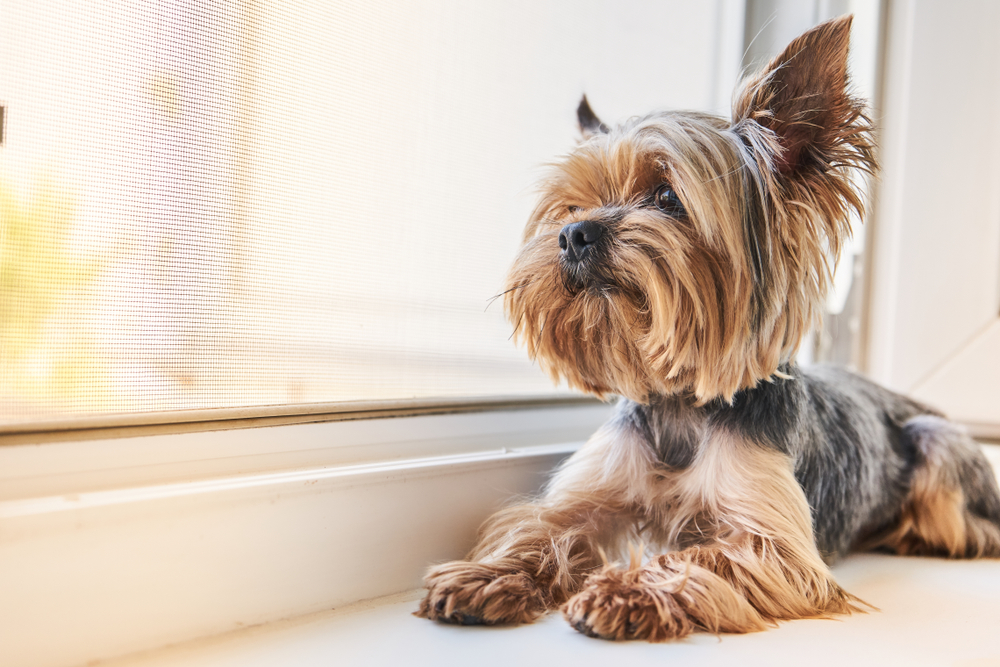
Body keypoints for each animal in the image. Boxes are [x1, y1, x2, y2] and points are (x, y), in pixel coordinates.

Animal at [414, 17, 1000, 640]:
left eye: (668, 197)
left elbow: (700, 555)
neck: (679, 404)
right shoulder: (591, 493)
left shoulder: (772, 544)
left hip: (938, 444)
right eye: (572, 206)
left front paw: (626, 590)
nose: (573, 234)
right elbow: (542, 527)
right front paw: (486, 576)